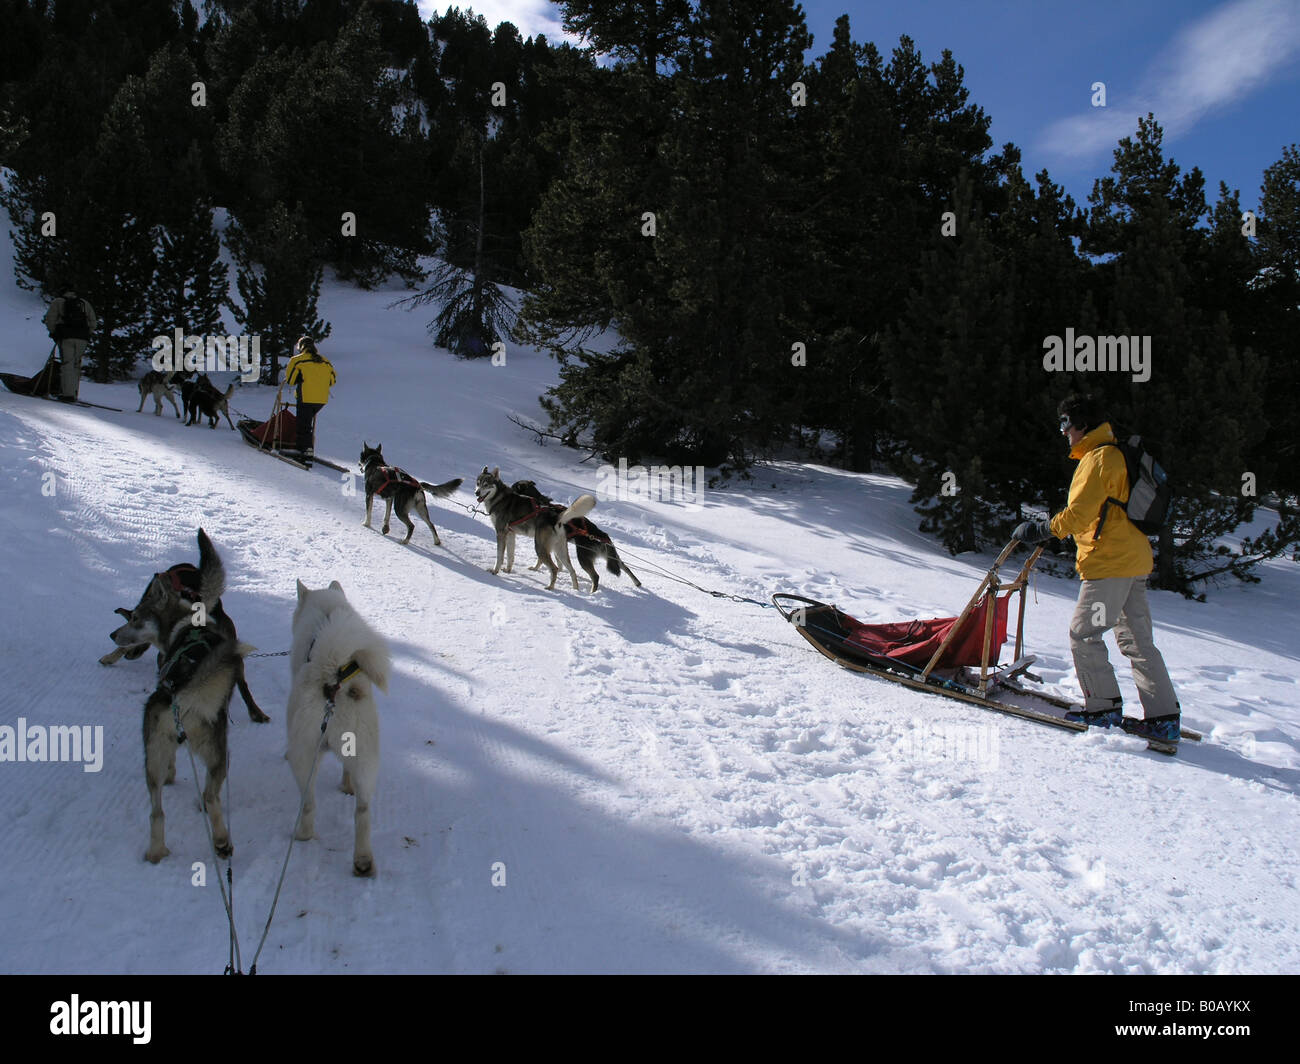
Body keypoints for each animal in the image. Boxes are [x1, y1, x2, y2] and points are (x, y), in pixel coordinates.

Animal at [111, 528, 256, 863]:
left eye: (135, 618)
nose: (113, 635)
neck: (187, 623)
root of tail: (184, 696)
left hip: (154, 757)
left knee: (157, 811)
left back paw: (156, 852)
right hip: (218, 755)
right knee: (210, 796)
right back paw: (221, 841)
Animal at [284, 580, 384, 868]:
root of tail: (335, 683)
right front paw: (345, 786)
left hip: (305, 759)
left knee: (309, 804)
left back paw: (303, 835)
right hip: (365, 760)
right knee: (362, 812)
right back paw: (363, 860)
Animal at [512, 478, 644, 587]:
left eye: (514, 487)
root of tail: (603, 536)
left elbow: (541, 560)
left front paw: (536, 568)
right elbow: (557, 561)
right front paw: (559, 569)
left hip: (583, 557)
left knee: (595, 576)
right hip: (612, 558)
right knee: (626, 568)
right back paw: (637, 582)